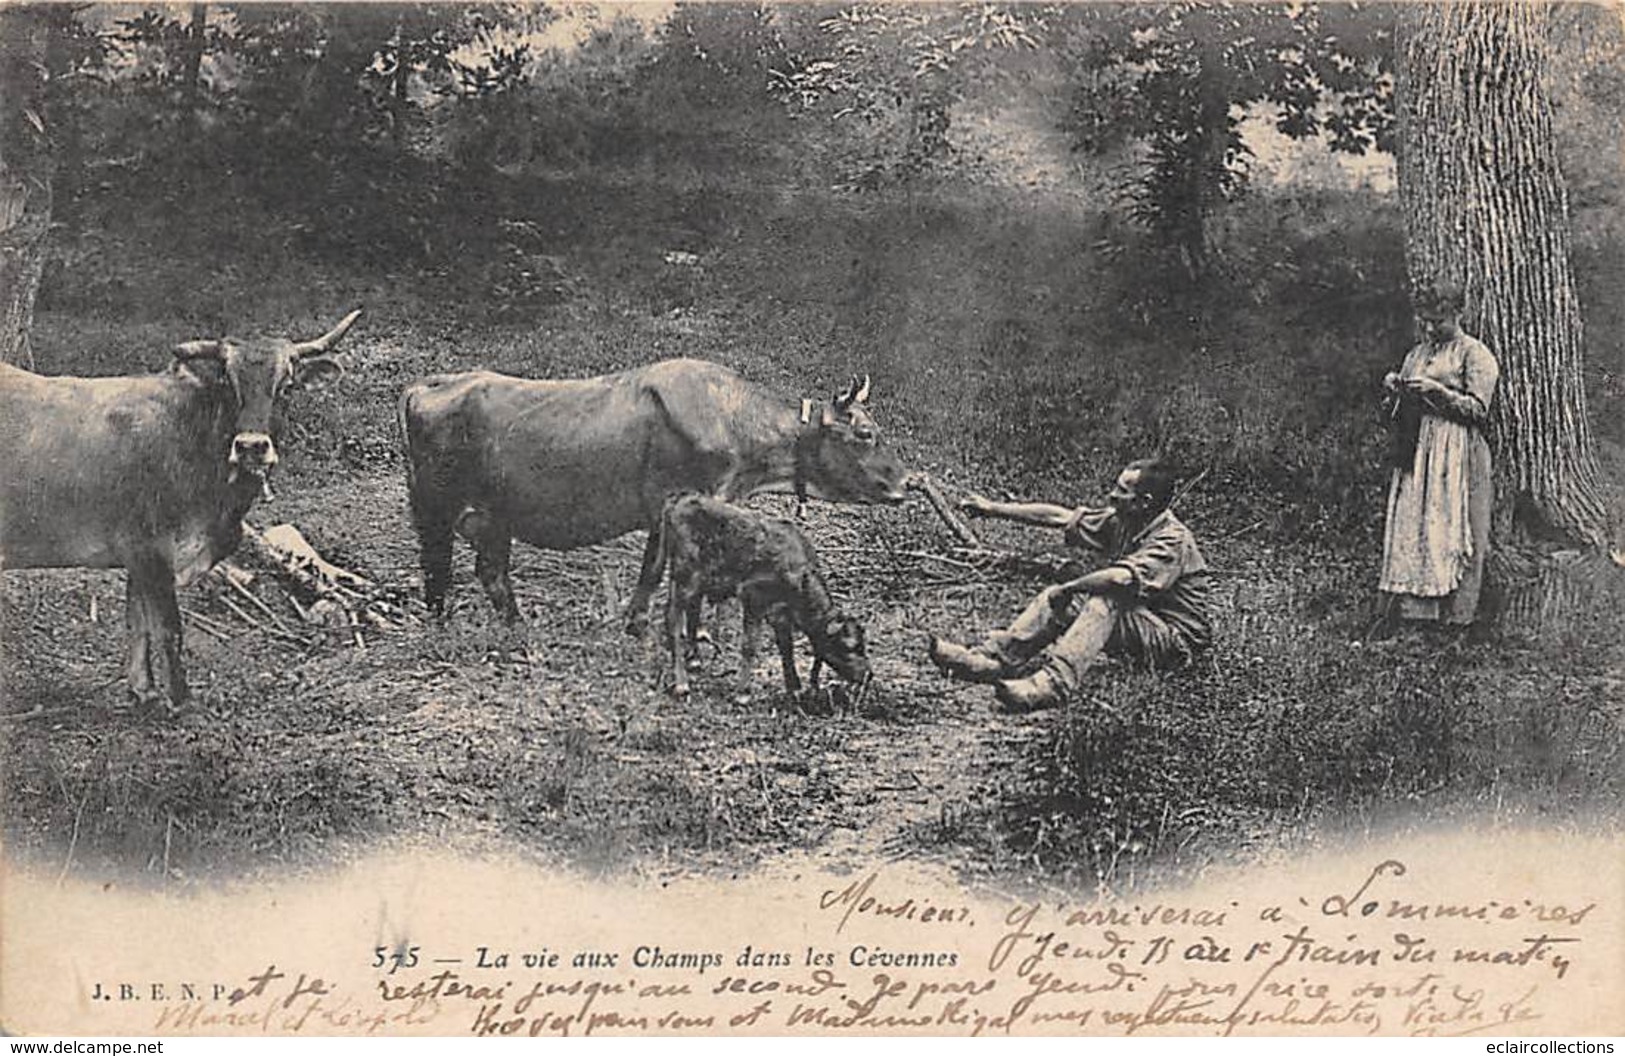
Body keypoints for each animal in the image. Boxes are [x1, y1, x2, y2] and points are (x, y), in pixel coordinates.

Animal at [0, 308, 362, 711]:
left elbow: (137, 622)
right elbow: (168, 627)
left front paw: (143, 689)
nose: (251, 447)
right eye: (230, 385)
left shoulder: (139, 556)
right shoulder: (151, 548)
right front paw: (181, 699)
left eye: (286, 386)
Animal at [398, 357, 910, 630]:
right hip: (438, 507)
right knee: (440, 567)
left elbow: (652, 570)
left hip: (490, 516)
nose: (906, 483)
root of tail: (427, 384)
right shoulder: (682, 502)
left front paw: (636, 624)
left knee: (487, 572)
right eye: (865, 433)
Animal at [656, 490, 871, 698]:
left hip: (695, 582)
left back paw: (694, 660)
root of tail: (678, 501)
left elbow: (786, 646)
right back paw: (682, 684)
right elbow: (750, 645)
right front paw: (742, 693)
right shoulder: (754, 599)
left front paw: (794, 688)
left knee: (693, 612)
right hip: (685, 578)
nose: (868, 674)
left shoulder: (780, 612)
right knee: (674, 620)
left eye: (863, 644)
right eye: (848, 647)